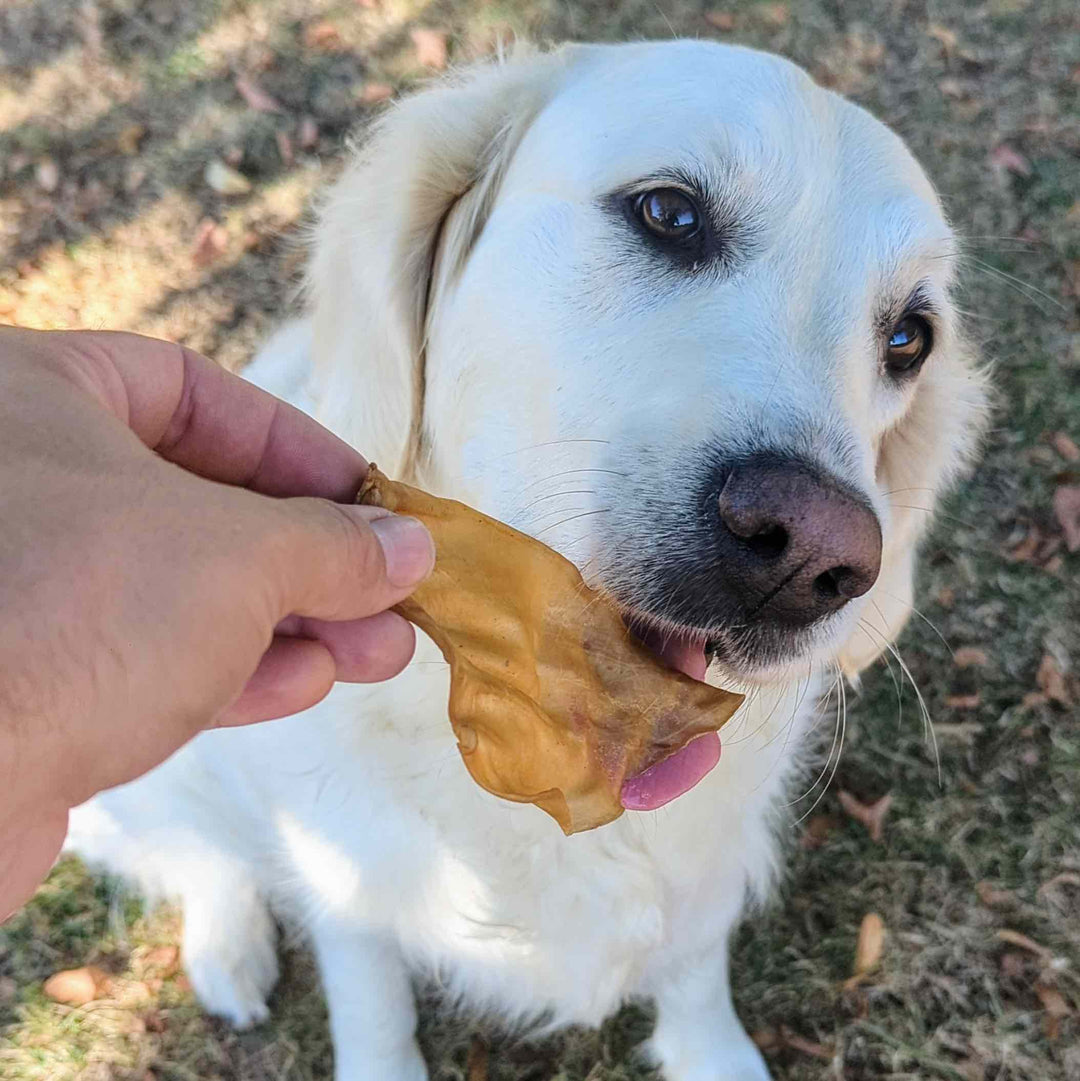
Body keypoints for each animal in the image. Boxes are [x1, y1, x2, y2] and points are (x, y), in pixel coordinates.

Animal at [65, 39, 990, 1081]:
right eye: (669, 212)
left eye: (909, 337)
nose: (815, 552)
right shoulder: (346, 877)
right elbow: (369, 990)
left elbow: (694, 964)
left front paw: (712, 1051)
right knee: (201, 853)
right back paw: (227, 951)